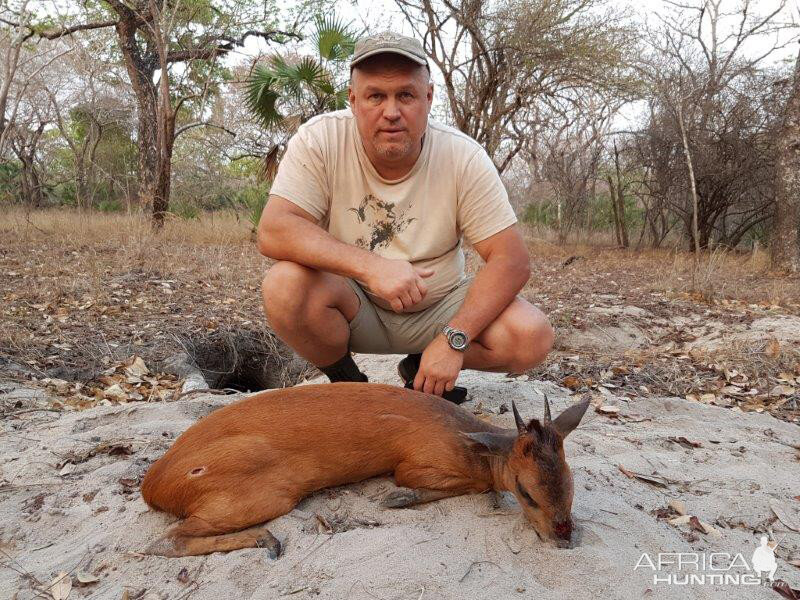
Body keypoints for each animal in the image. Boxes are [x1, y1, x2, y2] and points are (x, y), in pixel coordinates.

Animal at [139, 384, 588, 556]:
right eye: (526, 492)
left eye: (571, 483)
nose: (564, 537)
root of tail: (153, 485)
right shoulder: (414, 465)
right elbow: (447, 486)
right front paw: (396, 498)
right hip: (266, 495)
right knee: (166, 540)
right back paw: (267, 540)